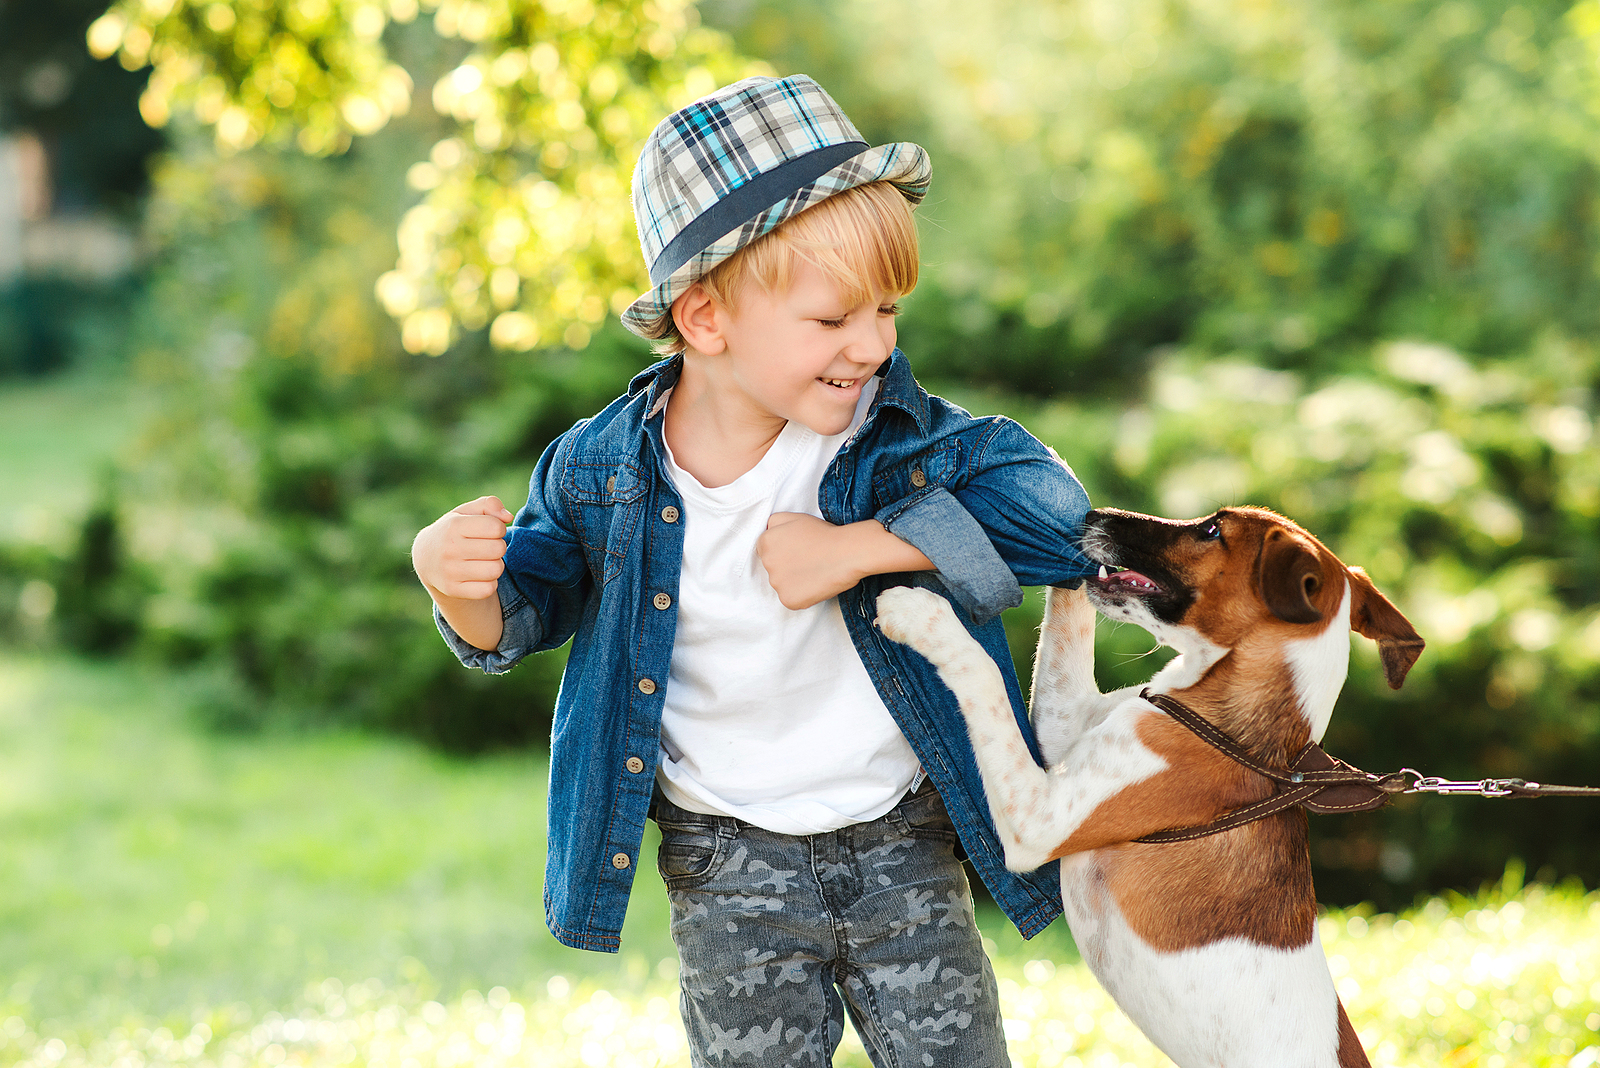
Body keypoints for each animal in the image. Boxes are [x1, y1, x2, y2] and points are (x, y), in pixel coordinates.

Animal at [876, 505, 1427, 1061]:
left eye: (1211, 530)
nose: (1094, 513)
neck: (1231, 727)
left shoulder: (1036, 822)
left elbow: (984, 673)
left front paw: (921, 617)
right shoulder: (1062, 722)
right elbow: (1067, 628)